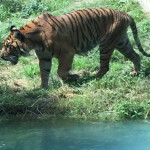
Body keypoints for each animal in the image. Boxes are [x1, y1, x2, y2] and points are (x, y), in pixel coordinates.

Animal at [0, 8, 150, 88]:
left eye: (8, 46)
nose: (1, 56)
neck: (34, 42)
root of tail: (125, 13)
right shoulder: (44, 57)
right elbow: (44, 73)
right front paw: (42, 88)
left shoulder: (67, 53)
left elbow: (61, 71)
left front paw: (74, 77)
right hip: (121, 42)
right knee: (136, 55)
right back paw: (136, 73)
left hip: (106, 44)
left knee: (105, 66)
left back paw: (92, 77)